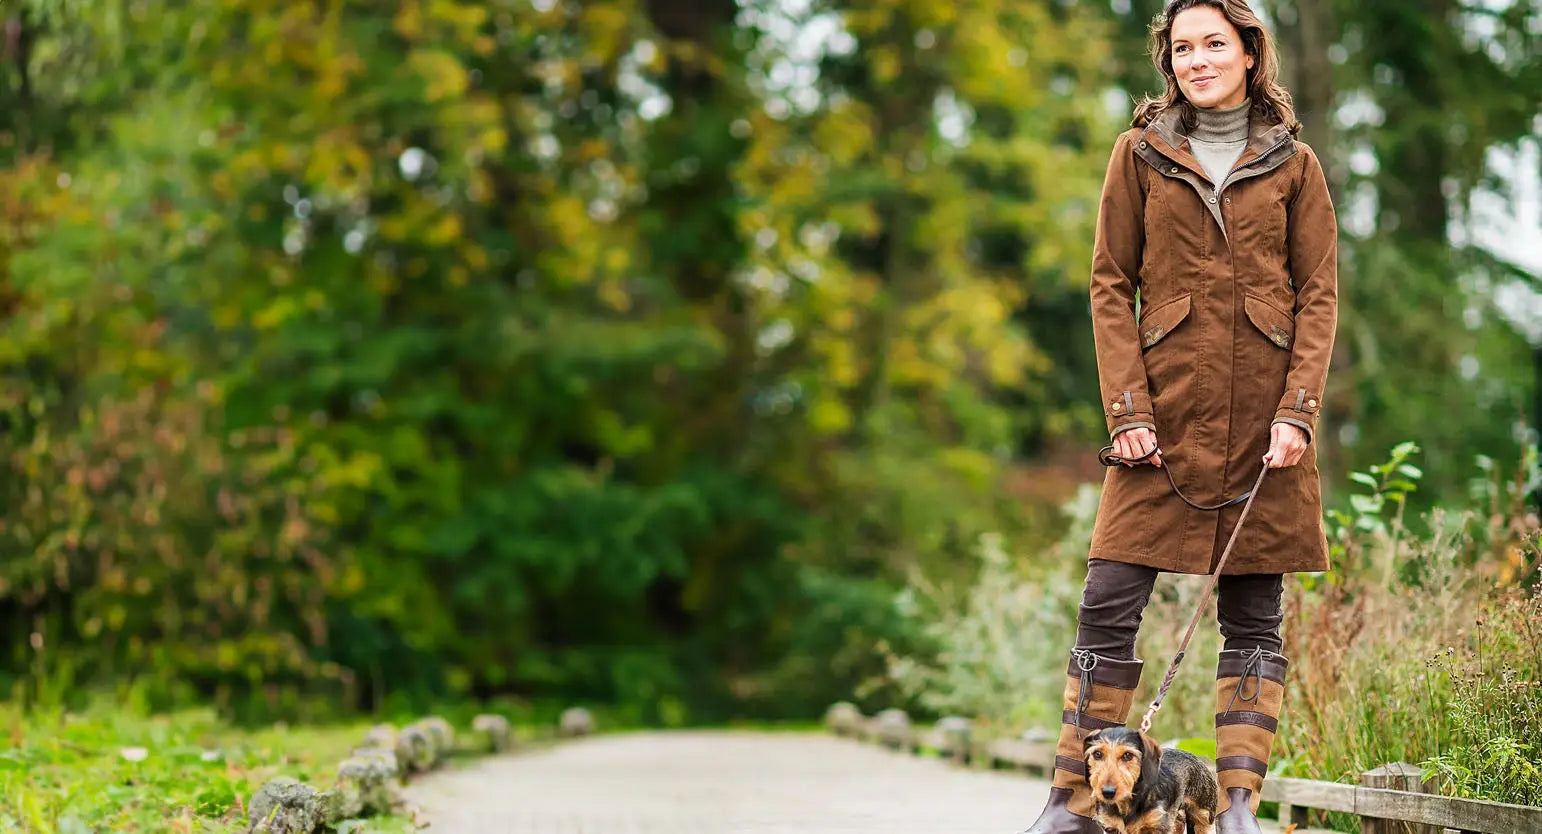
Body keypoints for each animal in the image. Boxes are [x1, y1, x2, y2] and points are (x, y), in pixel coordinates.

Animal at [1085, 721, 1215, 832]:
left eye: (1128, 755)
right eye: (1097, 754)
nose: (1107, 792)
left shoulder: (1158, 825)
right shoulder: (1111, 827)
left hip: (1204, 816)